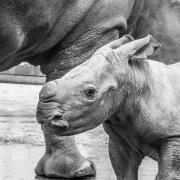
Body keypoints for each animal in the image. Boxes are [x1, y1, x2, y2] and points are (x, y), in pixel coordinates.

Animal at [37, 35, 180, 180]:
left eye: (90, 92)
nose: (44, 114)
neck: (136, 81)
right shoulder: (120, 139)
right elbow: (124, 173)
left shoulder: (174, 137)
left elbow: (167, 175)